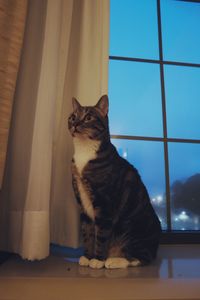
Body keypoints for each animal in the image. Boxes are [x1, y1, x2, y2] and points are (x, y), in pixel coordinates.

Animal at [68, 94, 162, 270]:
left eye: (88, 117)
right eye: (73, 117)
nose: (75, 124)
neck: (84, 151)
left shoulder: (104, 203)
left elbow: (101, 234)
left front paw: (98, 260)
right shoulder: (82, 203)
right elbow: (87, 232)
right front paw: (87, 257)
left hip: (132, 228)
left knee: (140, 258)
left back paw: (114, 260)